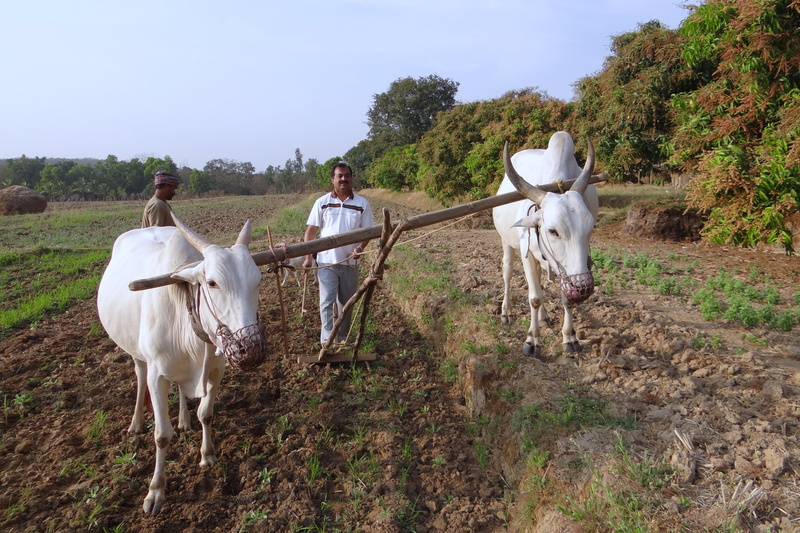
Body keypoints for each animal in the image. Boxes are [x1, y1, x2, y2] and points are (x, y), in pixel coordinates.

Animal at [97, 214, 265, 514]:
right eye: (212, 283)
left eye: (258, 279)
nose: (251, 349)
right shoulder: (157, 377)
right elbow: (162, 435)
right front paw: (156, 491)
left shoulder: (216, 370)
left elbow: (205, 414)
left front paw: (207, 455)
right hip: (136, 353)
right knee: (139, 376)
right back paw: (136, 422)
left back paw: (184, 420)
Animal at [492, 131, 599, 358]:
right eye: (553, 231)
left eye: (590, 228)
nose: (584, 288)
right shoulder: (527, 256)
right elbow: (534, 298)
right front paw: (532, 340)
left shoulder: (566, 269)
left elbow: (564, 297)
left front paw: (570, 337)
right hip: (506, 242)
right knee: (507, 273)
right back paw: (506, 312)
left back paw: (544, 316)